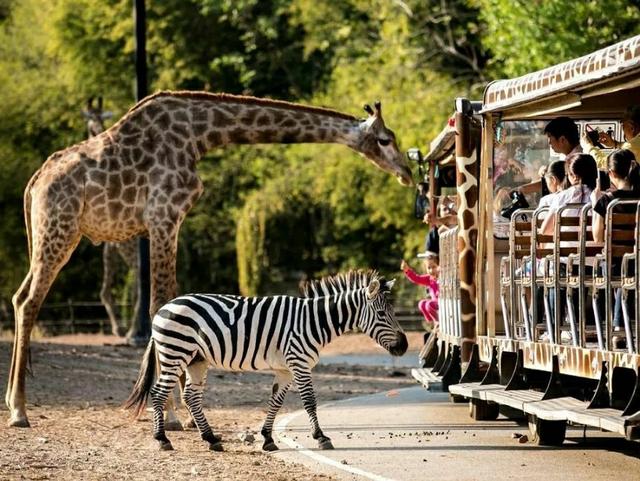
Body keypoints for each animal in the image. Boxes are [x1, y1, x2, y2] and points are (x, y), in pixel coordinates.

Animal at [5, 89, 412, 424]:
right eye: (385, 139)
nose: (407, 173)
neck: (199, 135)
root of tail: (34, 183)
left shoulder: (168, 221)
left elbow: (170, 302)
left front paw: (181, 413)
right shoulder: (163, 215)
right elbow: (160, 303)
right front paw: (170, 414)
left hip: (47, 234)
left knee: (19, 296)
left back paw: (14, 403)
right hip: (60, 230)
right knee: (29, 301)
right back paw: (20, 411)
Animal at [122, 270, 408, 450]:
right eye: (382, 314)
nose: (404, 346)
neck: (312, 322)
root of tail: (163, 308)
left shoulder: (285, 369)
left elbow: (276, 401)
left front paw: (268, 439)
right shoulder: (299, 363)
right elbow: (309, 401)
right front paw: (320, 437)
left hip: (196, 360)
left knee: (191, 396)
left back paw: (211, 439)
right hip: (175, 352)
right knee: (159, 392)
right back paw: (162, 440)